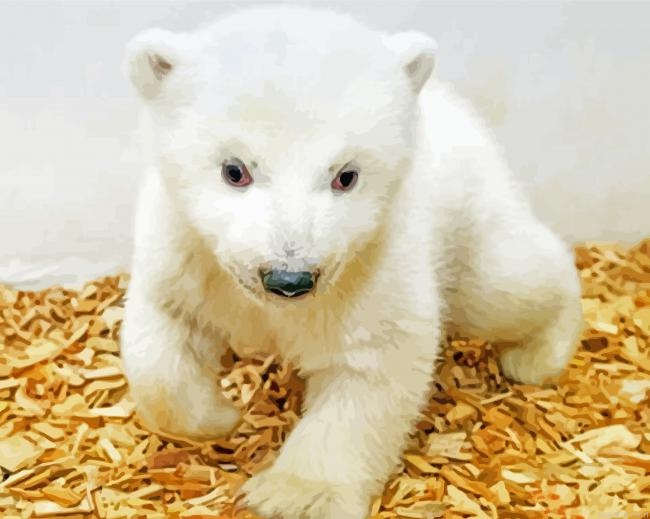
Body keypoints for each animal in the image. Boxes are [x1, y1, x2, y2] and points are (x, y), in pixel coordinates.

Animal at [120, 6, 583, 518]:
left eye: (346, 175)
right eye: (234, 170)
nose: (289, 278)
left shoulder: (374, 264)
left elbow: (370, 367)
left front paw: (295, 495)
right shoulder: (186, 252)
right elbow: (163, 333)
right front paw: (221, 416)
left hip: (468, 221)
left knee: (507, 285)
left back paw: (539, 355)